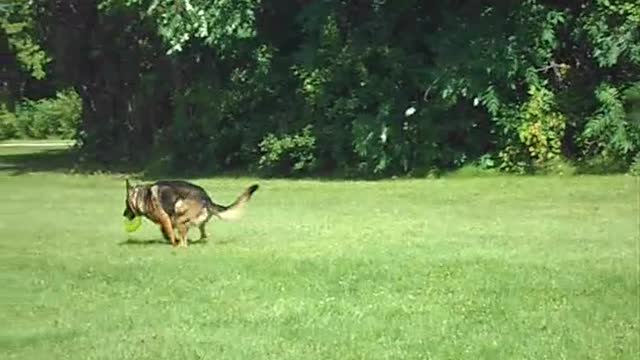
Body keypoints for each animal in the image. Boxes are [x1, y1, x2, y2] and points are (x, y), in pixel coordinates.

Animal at [122, 180, 258, 248]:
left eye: (126, 203)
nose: (124, 214)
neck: (141, 197)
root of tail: (207, 199)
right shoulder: (166, 222)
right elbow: (166, 232)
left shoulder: (165, 218)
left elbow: (170, 234)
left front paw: (174, 243)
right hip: (192, 221)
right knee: (203, 235)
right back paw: (196, 241)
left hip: (179, 212)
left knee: (185, 242)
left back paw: (182, 246)